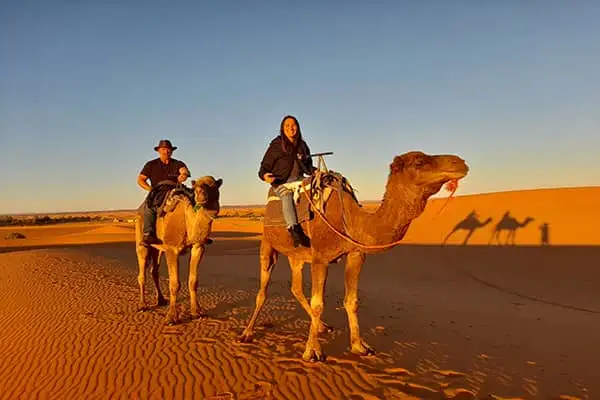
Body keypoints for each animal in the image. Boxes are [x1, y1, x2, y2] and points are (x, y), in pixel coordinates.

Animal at [134, 177, 223, 324]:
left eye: (213, 185)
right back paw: (142, 305)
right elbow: (175, 284)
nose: (200, 193)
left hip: (158, 249)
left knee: (154, 271)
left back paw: (161, 300)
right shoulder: (171, 249)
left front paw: (197, 312)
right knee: (142, 274)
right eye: (196, 187)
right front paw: (171, 317)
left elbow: (193, 281)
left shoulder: (198, 247)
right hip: (142, 241)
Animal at [239, 151, 468, 362]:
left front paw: (359, 346)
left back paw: (322, 327)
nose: (460, 162)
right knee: (263, 290)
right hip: (268, 244)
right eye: (419, 161)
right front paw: (312, 352)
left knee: (295, 287)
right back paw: (247, 333)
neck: (351, 220)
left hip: (297, 254)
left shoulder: (356, 255)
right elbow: (318, 304)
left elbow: (352, 301)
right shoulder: (320, 258)